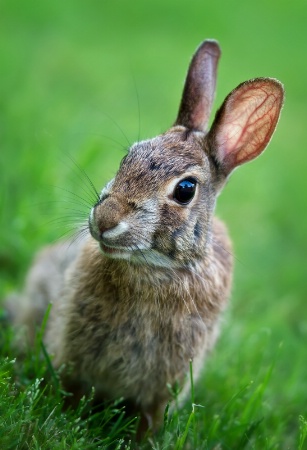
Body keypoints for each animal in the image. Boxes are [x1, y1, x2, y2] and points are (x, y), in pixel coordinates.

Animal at [7, 40, 286, 434]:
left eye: (185, 189)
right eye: (128, 156)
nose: (105, 219)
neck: (154, 270)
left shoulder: (166, 383)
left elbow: (150, 417)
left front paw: (146, 439)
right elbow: (72, 389)